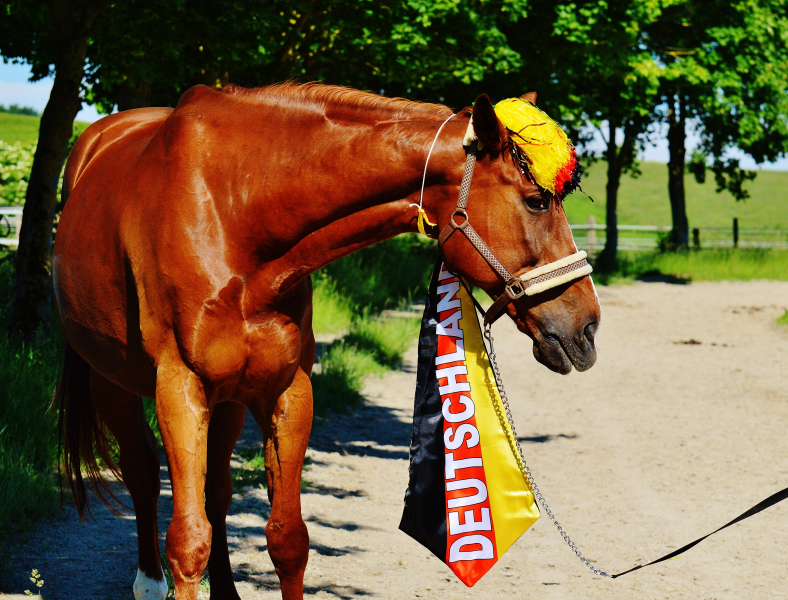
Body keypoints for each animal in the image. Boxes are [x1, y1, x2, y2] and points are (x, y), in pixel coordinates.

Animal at [52, 82, 601, 600]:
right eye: (536, 201)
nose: (587, 326)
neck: (235, 212)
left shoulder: (287, 391)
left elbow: (288, 539)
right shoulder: (180, 391)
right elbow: (188, 542)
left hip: (227, 400)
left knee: (217, 491)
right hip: (113, 383)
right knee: (144, 475)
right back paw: (148, 582)